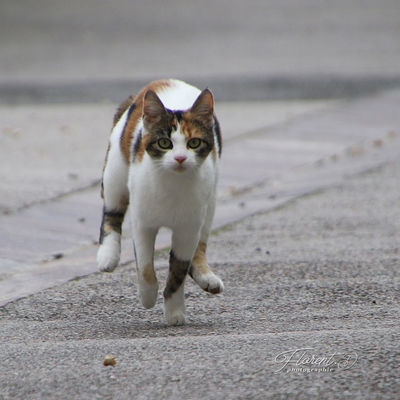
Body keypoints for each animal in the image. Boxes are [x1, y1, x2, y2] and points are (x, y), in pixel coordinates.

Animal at [95, 78, 223, 324]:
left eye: (194, 143)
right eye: (165, 143)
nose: (180, 158)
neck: (172, 184)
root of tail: (165, 81)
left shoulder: (187, 229)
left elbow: (179, 270)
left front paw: (174, 310)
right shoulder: (142, 224)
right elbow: (145, 268)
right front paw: (148, 296)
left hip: (211, 200)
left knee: (200, 245)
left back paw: (205, 276)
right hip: (116, 172)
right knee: (112, 213)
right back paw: (108, 255)